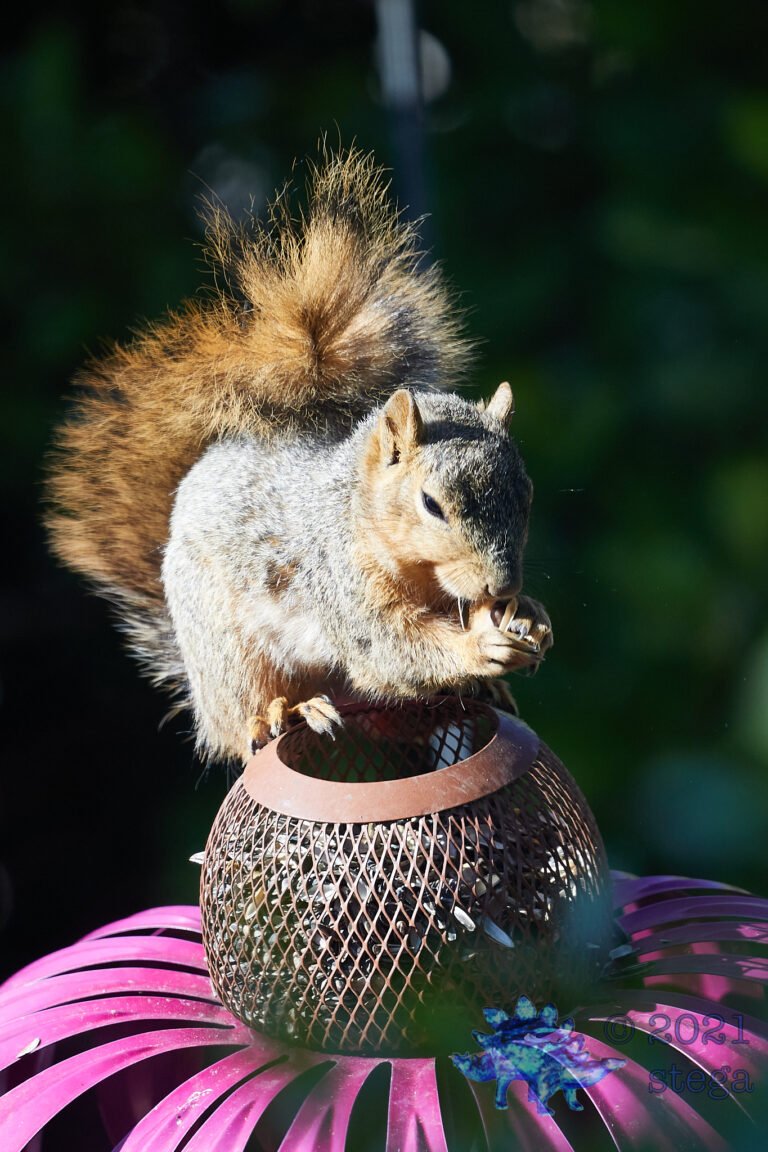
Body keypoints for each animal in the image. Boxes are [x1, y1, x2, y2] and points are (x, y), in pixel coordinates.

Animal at [47, 149, 553, 764]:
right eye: (431, 504)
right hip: (227, 649)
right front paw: (481, 646)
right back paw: (284, 713)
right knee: (244, 718)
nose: (500, 588)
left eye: (527, 496)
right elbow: (387, 649)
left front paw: (531, 616)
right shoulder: (339, 583)